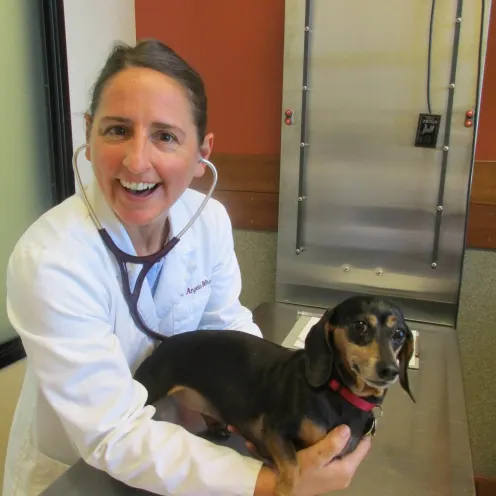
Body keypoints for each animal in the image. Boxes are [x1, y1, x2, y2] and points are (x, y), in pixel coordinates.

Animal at [134, 296, 416, 494]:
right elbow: (293, 468)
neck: (337, 393)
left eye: (399, 334)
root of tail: (167, 341)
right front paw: (283, 489)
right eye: (360, 326)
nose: (389, 370)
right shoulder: (275, 430)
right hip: (149, 388)